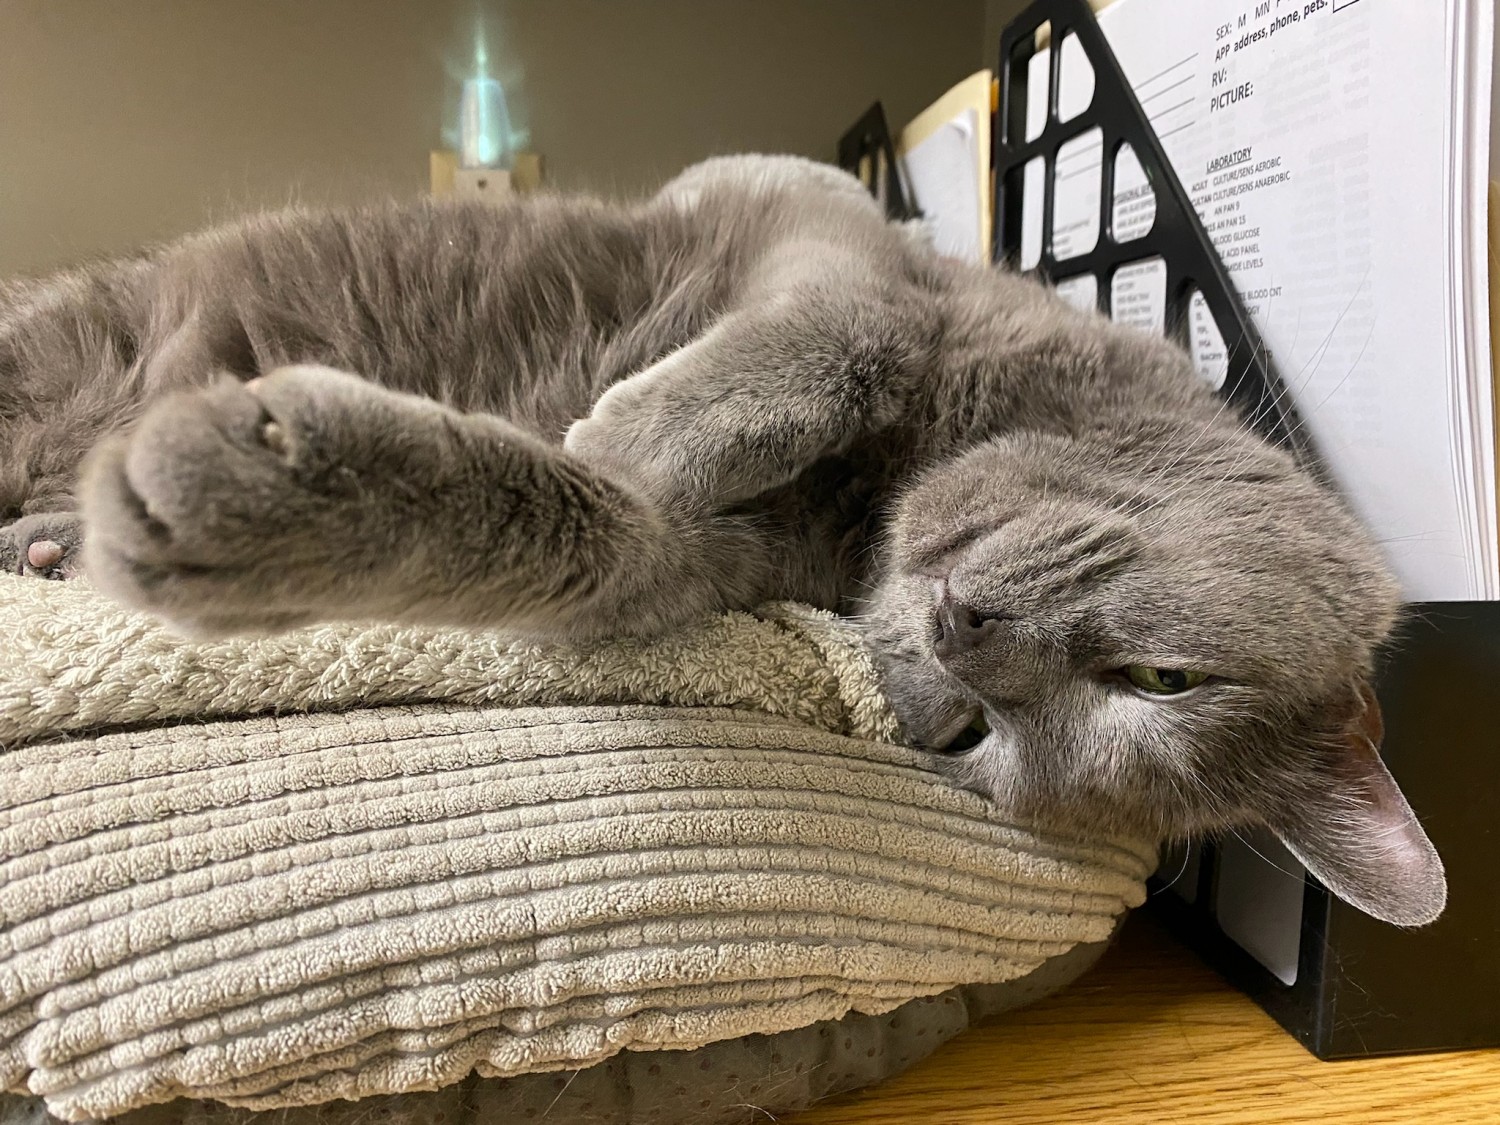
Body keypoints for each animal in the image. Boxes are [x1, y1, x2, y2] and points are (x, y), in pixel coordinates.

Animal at [0, 154, 1440, 930]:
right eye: (1167, 679)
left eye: (974, 743)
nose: (962, 640)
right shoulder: (803, 202)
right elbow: (851, 322)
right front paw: (638, 424)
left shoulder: (713, 566)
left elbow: (588, 529)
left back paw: (64, 535)